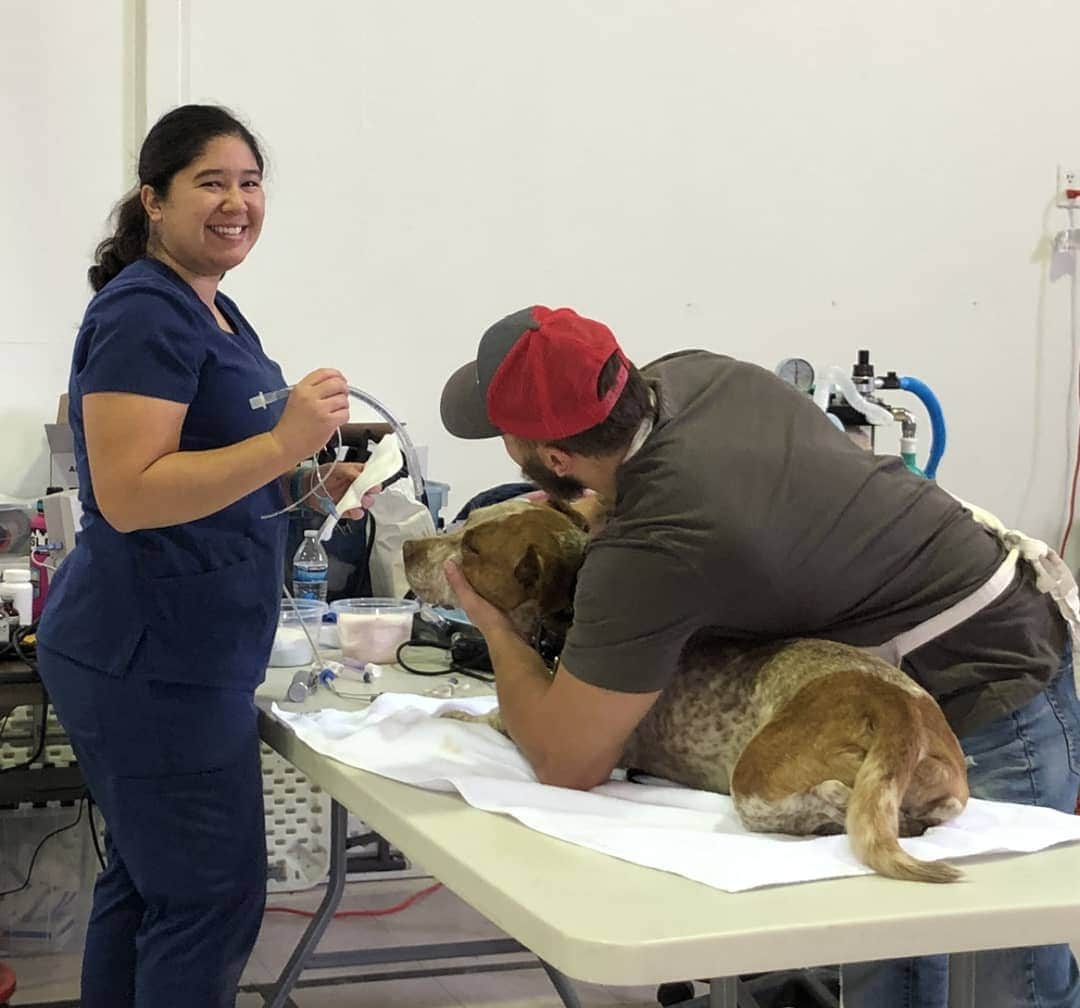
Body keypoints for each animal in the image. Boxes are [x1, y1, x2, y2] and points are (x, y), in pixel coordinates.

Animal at [403, 496, 972, 881]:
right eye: (468, 522)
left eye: (471, 547)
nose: (409, 546)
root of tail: (897, 704)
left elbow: (491, 717)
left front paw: (454, 714)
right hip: (948, 795)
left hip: (758, 779)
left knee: (833, 797)